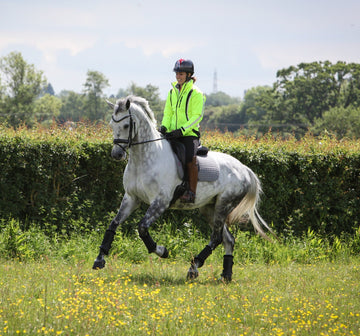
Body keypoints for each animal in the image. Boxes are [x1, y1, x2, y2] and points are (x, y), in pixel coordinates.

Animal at [92, 95, 272, 280]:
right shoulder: (131, 198)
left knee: (216, 238)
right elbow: (113, 224)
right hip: (210, 208)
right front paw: (99, 259)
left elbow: (142, 228)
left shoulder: (160, 202)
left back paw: (194, 267)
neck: (144, 159)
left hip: (224, 204)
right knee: (228, 240)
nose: (116, 154)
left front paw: (162, 251)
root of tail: (244, 169)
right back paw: (226, 275)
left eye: (126, 125)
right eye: (111, 124)